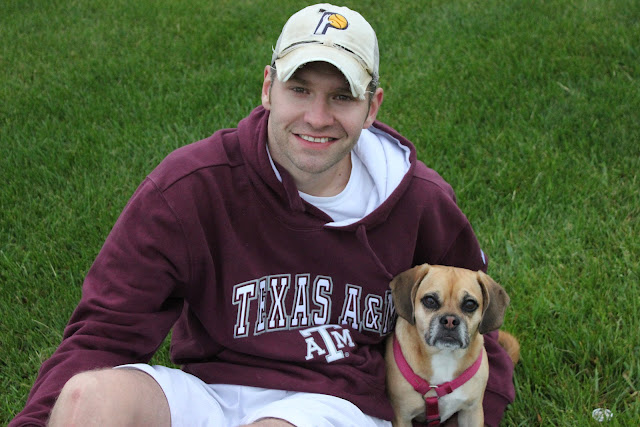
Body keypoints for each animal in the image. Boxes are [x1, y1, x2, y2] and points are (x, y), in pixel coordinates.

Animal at [385, 264, 520, 426]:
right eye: (430, 300)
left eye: (470, 304)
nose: (450, 320)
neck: (444, 355)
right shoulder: (402, 417)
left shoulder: (472, 411)